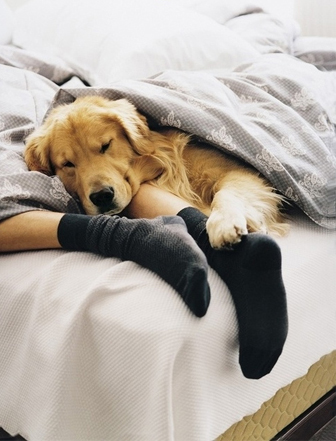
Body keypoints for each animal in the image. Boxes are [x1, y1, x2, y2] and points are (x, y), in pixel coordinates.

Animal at [24, 96, 288, 248]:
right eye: (68, 164)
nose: (101, 196)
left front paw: (224, 223)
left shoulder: (242, 171)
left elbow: (226, 193)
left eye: (105, 146)